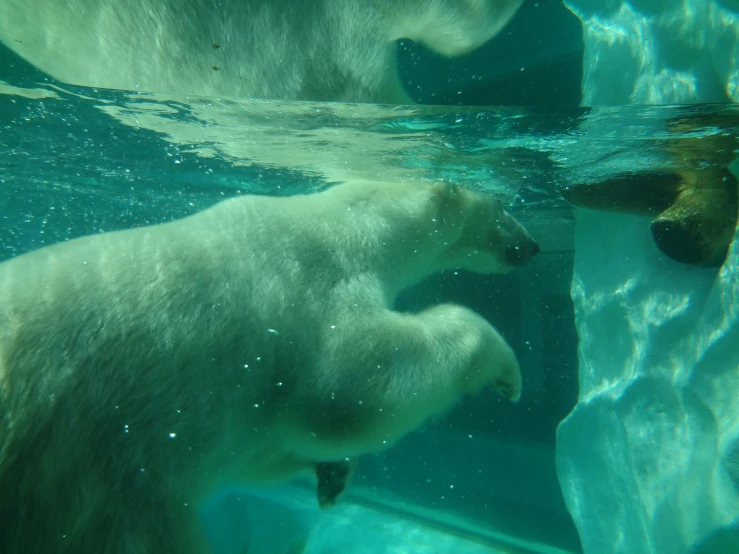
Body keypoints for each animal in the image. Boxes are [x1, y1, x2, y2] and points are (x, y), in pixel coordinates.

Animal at [0, 179, 536, 548]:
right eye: (503, 207)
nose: (532, 247)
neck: (350, 221)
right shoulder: (312, 286)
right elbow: (352, 388)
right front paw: (508, 373)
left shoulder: (248, 407)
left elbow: (269, 446)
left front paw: (334, 477)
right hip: (93, 491)